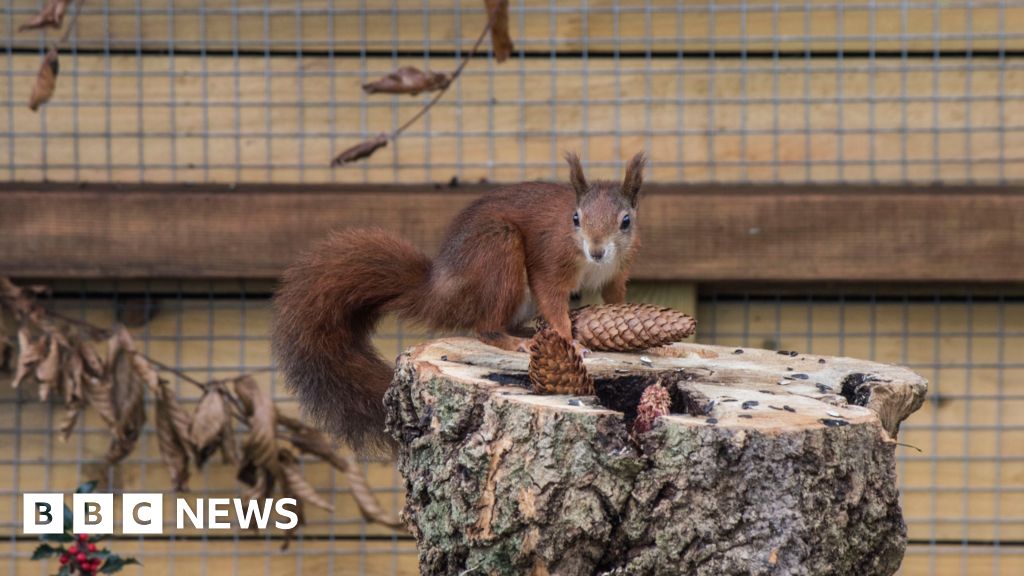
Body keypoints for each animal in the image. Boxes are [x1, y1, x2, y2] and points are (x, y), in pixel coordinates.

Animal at [271, 152, 646, 453]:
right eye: (576, 218)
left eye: (626, 221)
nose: (597, 250)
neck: (591, 261)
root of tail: (445, 288)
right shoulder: (551, 262)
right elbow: (552, 300)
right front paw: (571, 341)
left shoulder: (617, 273)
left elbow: (615, 296)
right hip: (497, 249)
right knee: (486, 328)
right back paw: (515, 342)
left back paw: (526, 332)